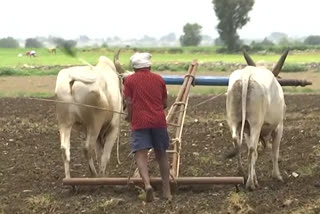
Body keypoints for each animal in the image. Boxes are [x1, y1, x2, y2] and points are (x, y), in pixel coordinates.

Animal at [226, 50, 288, 191]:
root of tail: (246, 74)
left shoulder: (247, 131)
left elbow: (255, 156)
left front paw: (255, 177)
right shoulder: (279, 127)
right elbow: (274, 153)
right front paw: (277, 175)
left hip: (235, 122)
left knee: (237, 142)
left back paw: (242, 173)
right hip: (255, 124)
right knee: (251, 149)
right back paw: (250, 184)